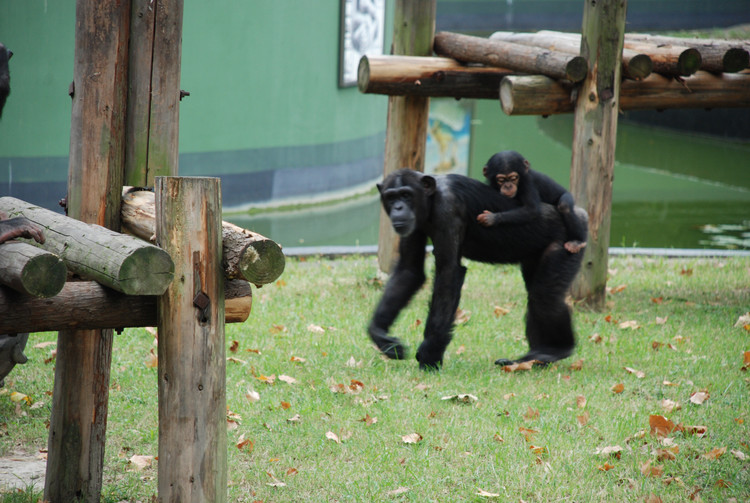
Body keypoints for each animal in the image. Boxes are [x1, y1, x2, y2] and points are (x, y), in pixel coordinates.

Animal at [370, 169, 588, 370]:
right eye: (391, 197)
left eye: (406, 195)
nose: (398, 207)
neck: (430, 200)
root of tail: (580, 215)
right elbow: (409, 270)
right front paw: (381, 336)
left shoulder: (448, 210)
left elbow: (448, 273)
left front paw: (429, 354)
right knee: (536, 293)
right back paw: (531, 358)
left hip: (568, 245)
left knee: (545, 296)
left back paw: (554, 350)